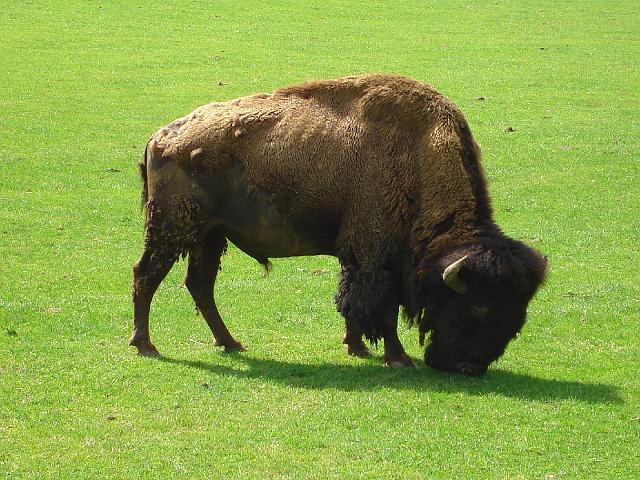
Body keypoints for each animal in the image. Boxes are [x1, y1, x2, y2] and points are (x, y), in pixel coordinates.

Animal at [130, 74, 547, 376]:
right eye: (477, 309)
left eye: (517, 320)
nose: (468, 368)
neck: (418, 152)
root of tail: (159, 137)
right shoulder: (377, 257)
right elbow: (381, 308)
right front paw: (398, 359)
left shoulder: (361, 257)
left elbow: (354, 302)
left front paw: (357, 347)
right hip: (173, 230)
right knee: (146, 275)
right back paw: (147, 346)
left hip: (211, 236)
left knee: (199, 285)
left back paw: (230, 343)